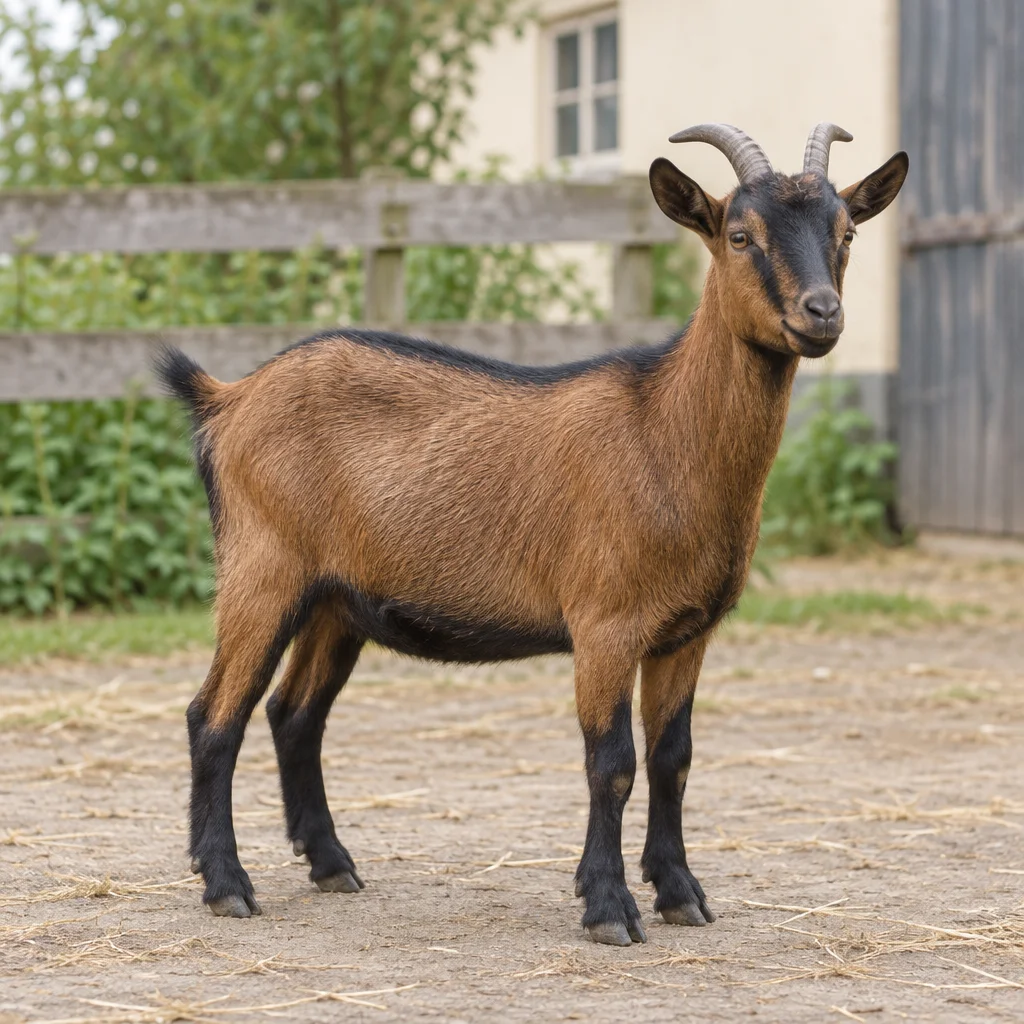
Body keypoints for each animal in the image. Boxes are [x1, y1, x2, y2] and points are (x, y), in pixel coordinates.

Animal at [157, 122, 908, 945]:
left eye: (846, 233)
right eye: (740, 236)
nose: (821, 313)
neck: (665, 431)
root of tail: (227, 399)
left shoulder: (687, 631)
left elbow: (673, 758)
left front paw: (681, 893)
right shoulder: (606, 623)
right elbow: (612, 763)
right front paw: (608, 907)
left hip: (335, 601)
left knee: (295, 715)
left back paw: (331, 865)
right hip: (263, 569)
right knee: (214, 716)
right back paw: (227, 883)